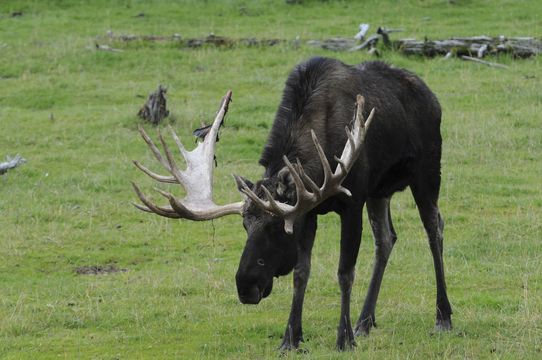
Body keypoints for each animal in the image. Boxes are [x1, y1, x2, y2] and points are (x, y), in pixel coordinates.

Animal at [133, 57, 454, 350]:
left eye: (278, 228)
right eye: (244, 225)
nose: (245, 286)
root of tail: (434, 99)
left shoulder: (352, 202)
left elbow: (344, 272)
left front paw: (343, 339)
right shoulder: (309, 211)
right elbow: (301, 273)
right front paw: (291, 338)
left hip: (426, 171)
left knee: (434, 228)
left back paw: (443, 316)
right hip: (380, 191)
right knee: (386, 239)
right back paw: (365, 321)